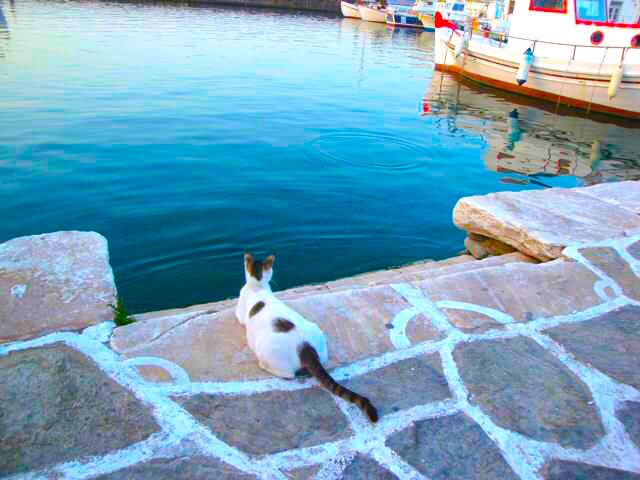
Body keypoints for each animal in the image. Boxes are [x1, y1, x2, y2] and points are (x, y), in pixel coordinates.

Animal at [235, 253, 378, 422]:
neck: (258, 286)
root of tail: (306, 347)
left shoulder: (241, 313)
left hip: (267, 350)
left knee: (288, 374)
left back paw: (264, 366)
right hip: (317, 333)